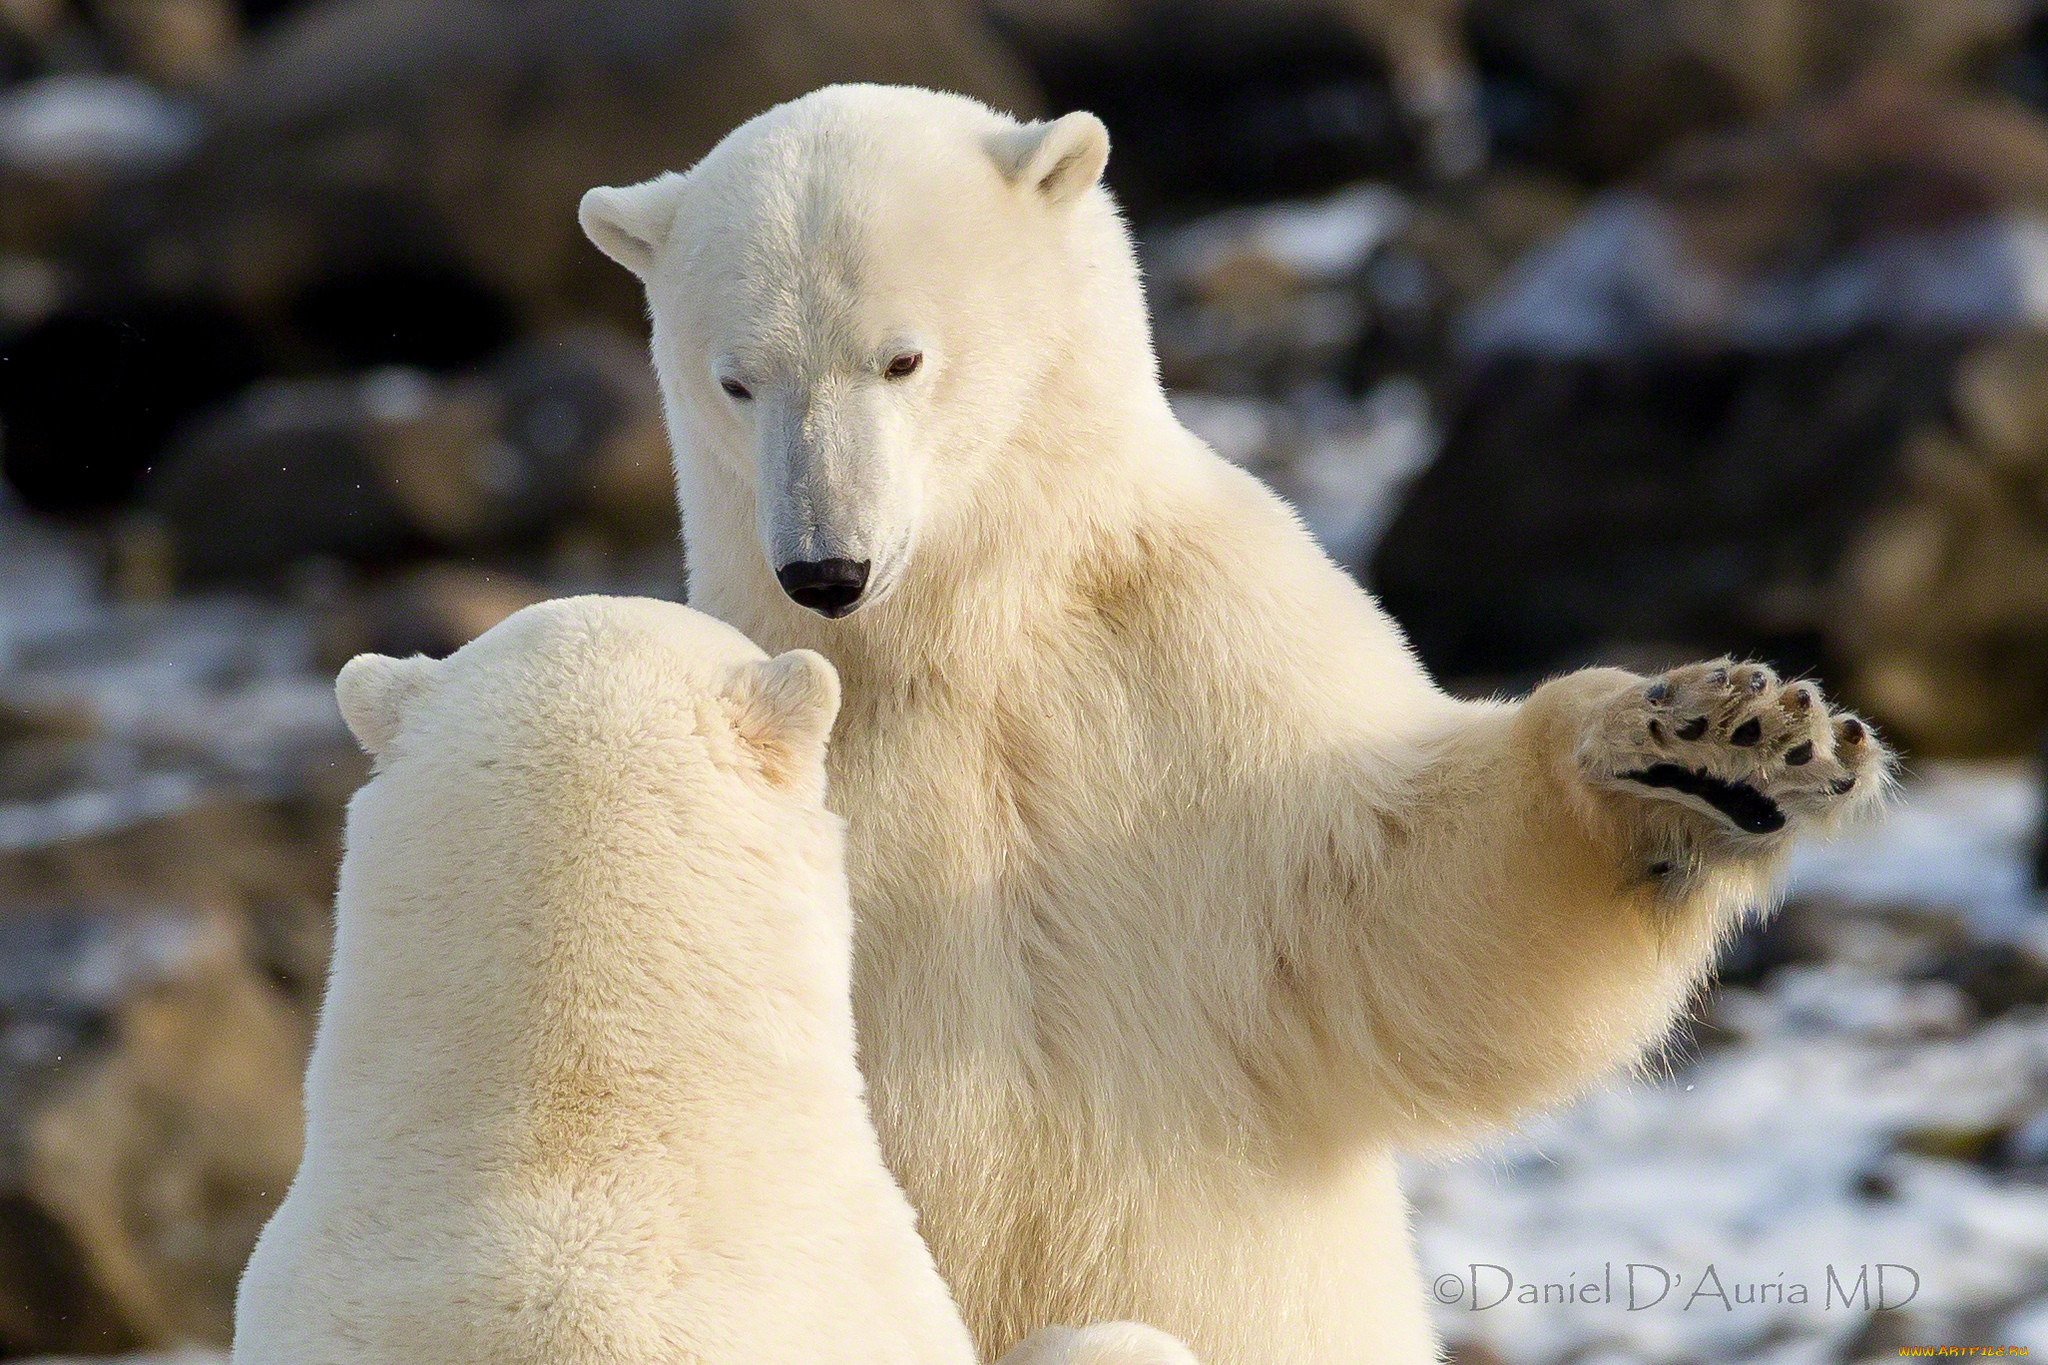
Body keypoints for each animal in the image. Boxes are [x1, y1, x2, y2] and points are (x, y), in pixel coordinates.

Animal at [577, 85, 1884, 1365]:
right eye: (735, 379)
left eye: (901, 358)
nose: (825, 569)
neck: (957, 630)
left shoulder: (1204, 656)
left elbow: (1402, 912)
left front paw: (1712, 753)